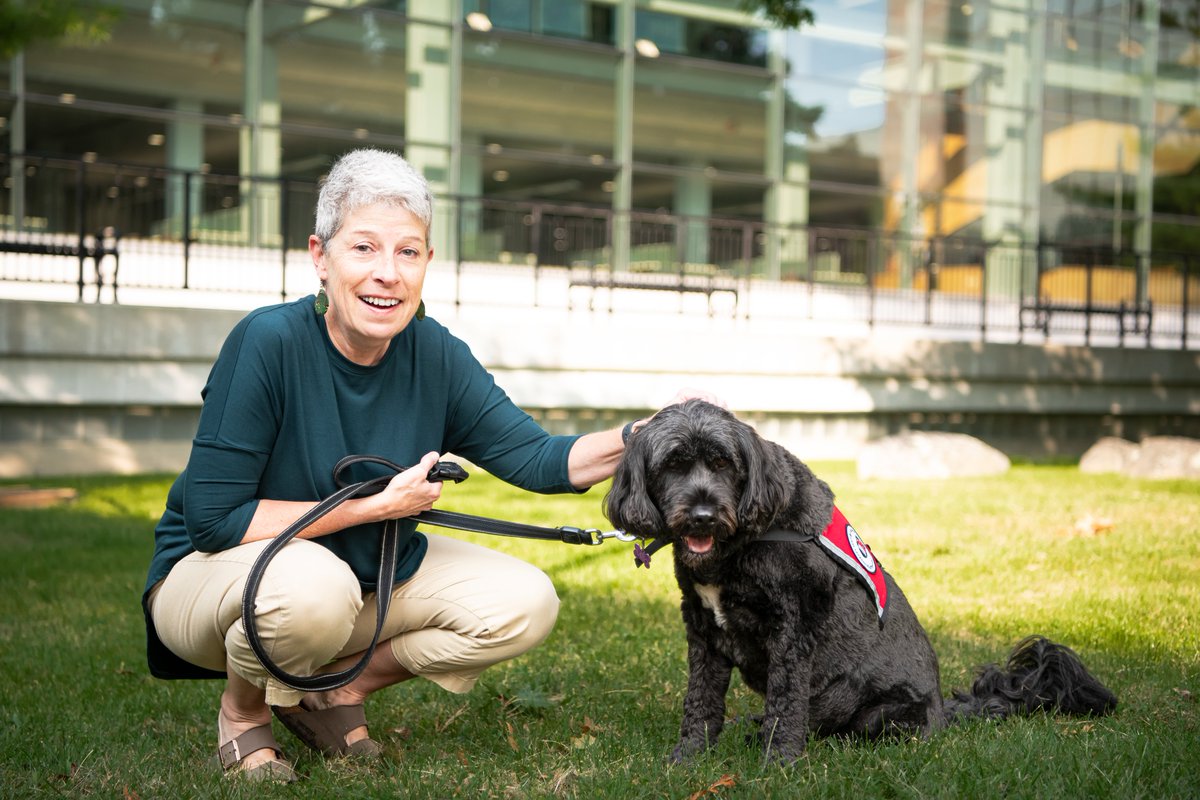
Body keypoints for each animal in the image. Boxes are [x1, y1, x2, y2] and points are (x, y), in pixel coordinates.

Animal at [604, 400, 1118, 762]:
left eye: (723, 463)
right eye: (672, 464)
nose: (703, 516)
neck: (738, 543)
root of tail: (944, 712)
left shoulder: (794, 629)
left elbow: (787, 699)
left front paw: (779, 762)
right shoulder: (704, 628)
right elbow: (701, 699)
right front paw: (690, 756)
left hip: (885, 714)